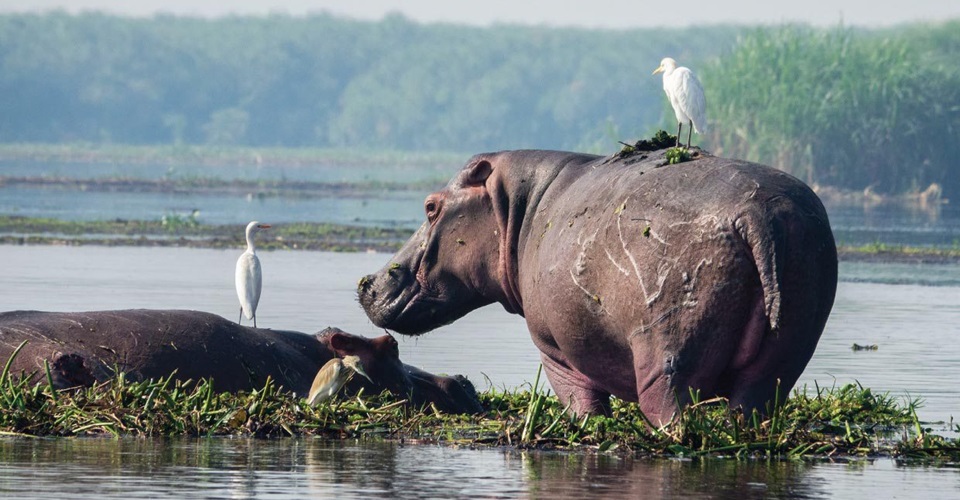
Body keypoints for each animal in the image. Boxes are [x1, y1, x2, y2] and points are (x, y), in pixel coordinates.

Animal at [359, 148, 837, 424]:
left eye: (430, 206)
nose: (367, 283)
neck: (517, 207)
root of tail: (758, 215)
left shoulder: (555, 349)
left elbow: (582, 404)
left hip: (669, 356)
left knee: (670, 407)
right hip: (783, 357)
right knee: (754, 402)